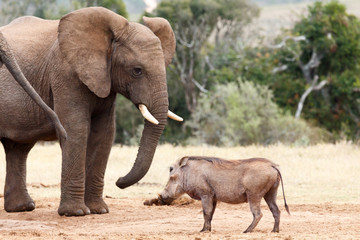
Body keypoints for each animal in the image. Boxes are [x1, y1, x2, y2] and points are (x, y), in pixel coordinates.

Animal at [0, 7, 181, 216]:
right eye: (137, 70)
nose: (119, 181)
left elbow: (103, 134)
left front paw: (98, 210)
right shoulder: (66, 74)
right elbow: (77, 130)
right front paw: (75, 213)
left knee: (18, 147)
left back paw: (21, 208)